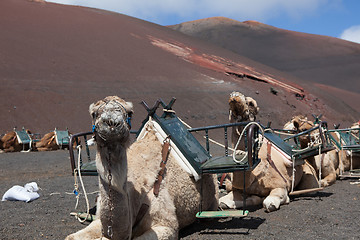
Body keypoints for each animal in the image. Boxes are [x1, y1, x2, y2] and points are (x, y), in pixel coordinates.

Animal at [65, 96, 218, 240]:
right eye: (93, 113)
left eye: (130, 113)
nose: (112, 123)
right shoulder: (99, 221)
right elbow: (71, 237)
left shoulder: (166, 225)